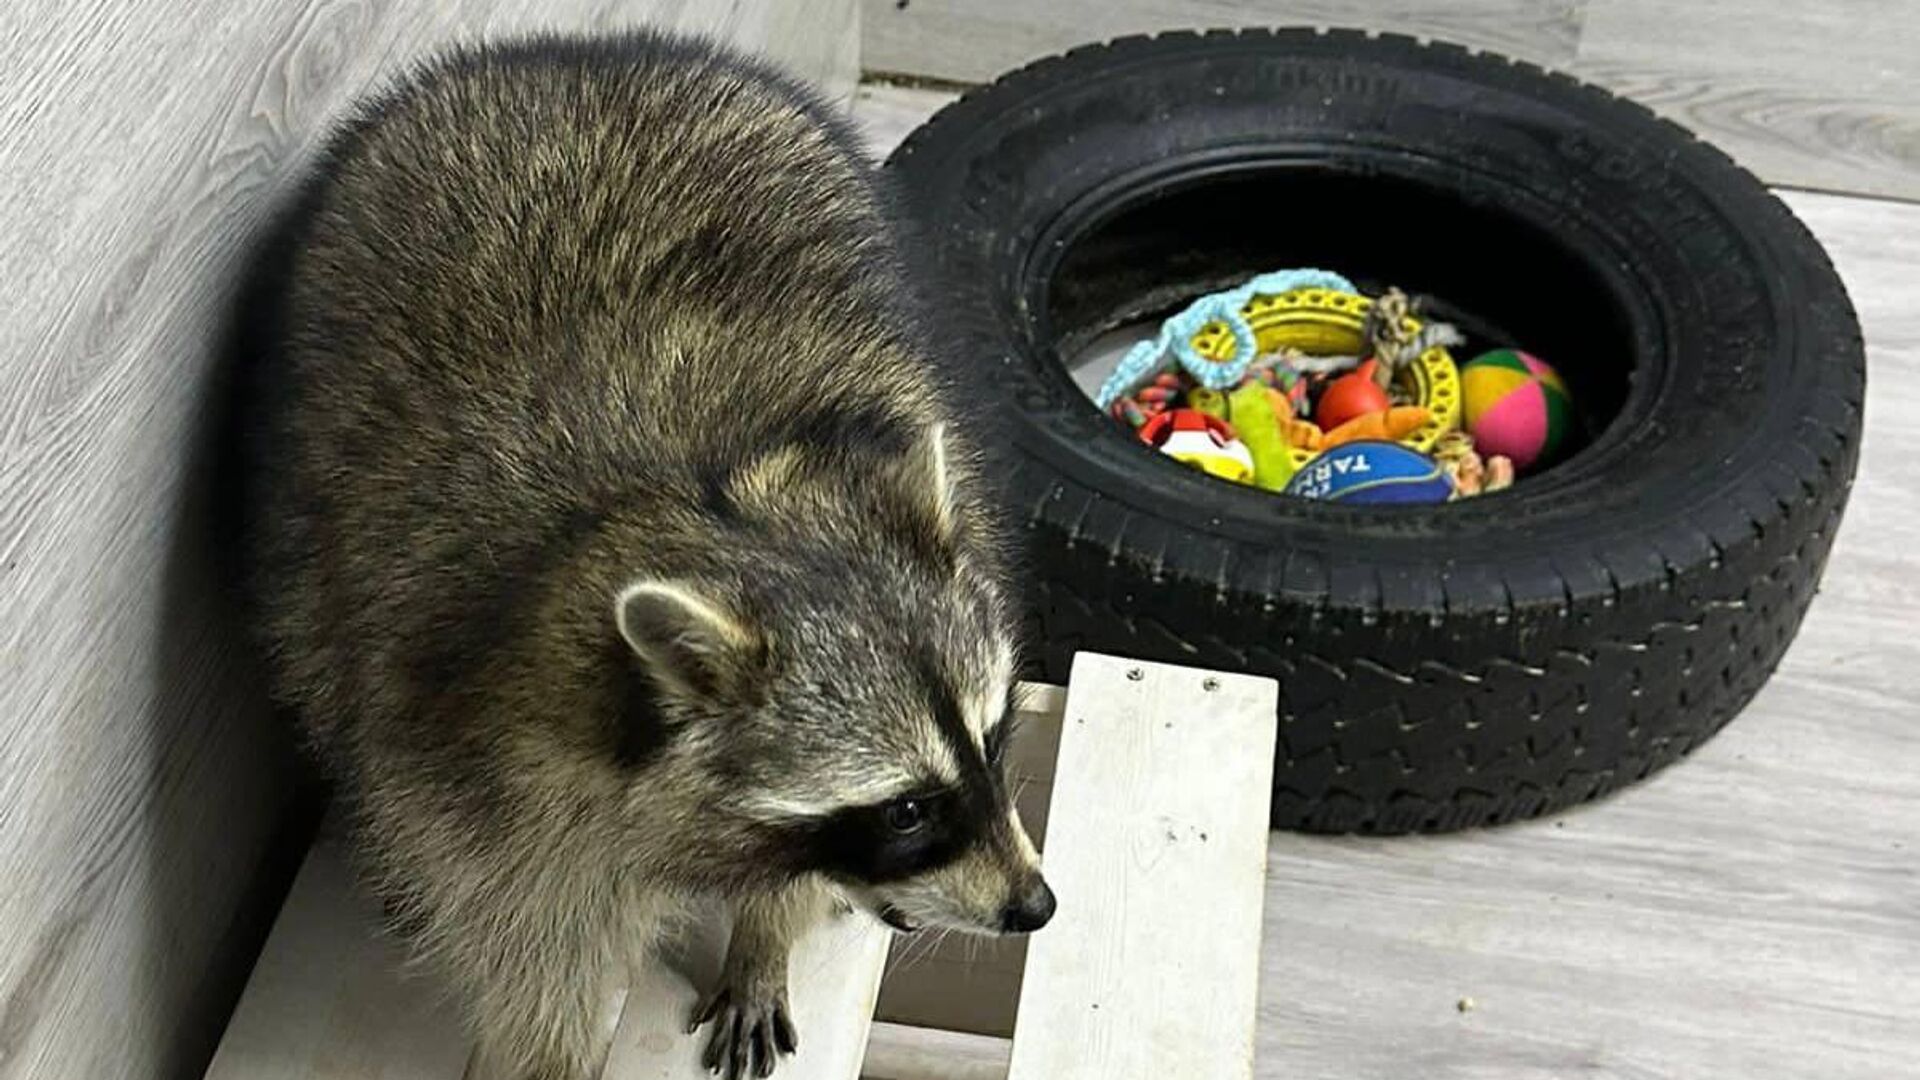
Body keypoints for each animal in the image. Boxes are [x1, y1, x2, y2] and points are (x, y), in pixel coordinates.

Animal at [243, 31, 1052, 1076]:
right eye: (904, 809)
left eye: (993, 741)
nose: (1036, 906)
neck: (701, 506)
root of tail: (574, 54)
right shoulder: (463, 758)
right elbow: (527, 942)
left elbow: (785, 881)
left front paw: (764, 934)